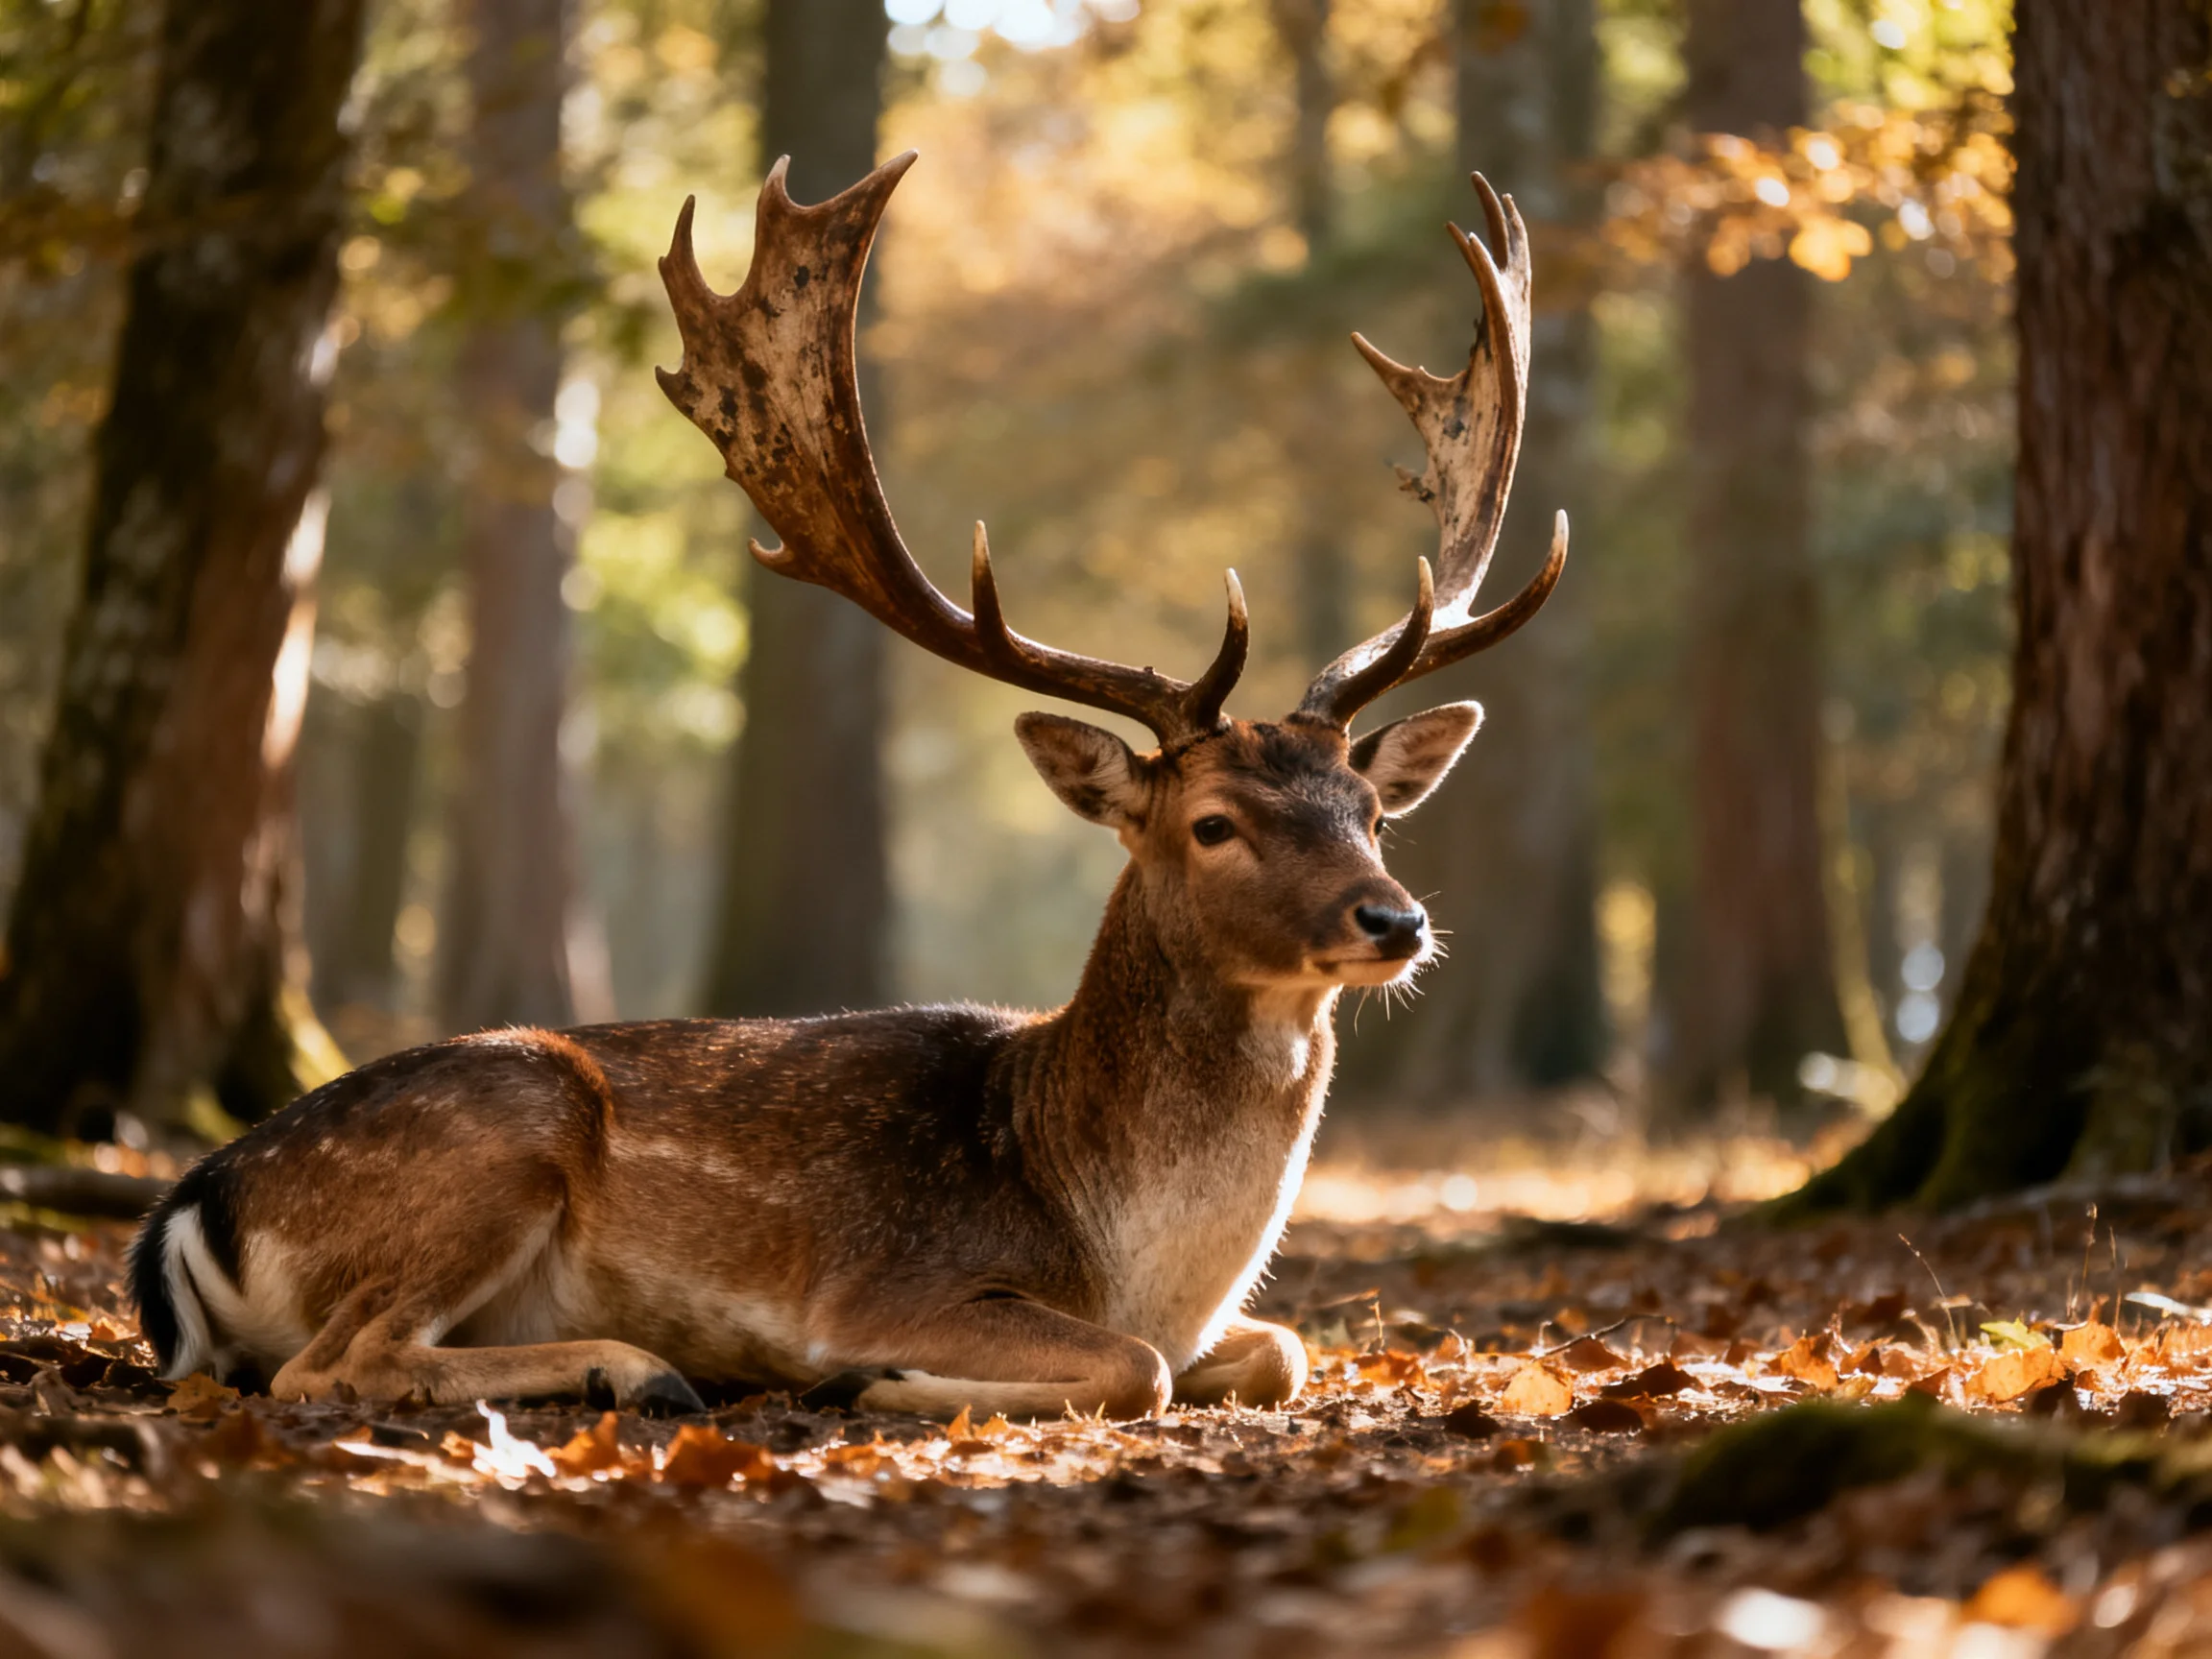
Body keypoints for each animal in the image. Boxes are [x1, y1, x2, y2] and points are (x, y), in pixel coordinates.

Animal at [128, 153, 1565, 1422]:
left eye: (1371, 813)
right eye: (1213, 824)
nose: (1395, 920)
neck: (1133, 1254)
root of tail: (189, 1208)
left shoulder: (1224, 1325)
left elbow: (1279, 1348)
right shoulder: (891, 1277)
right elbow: (1131, 1368)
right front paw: (870, 1380)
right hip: (497, 1135)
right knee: (334, 1363)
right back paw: (642, 1367)